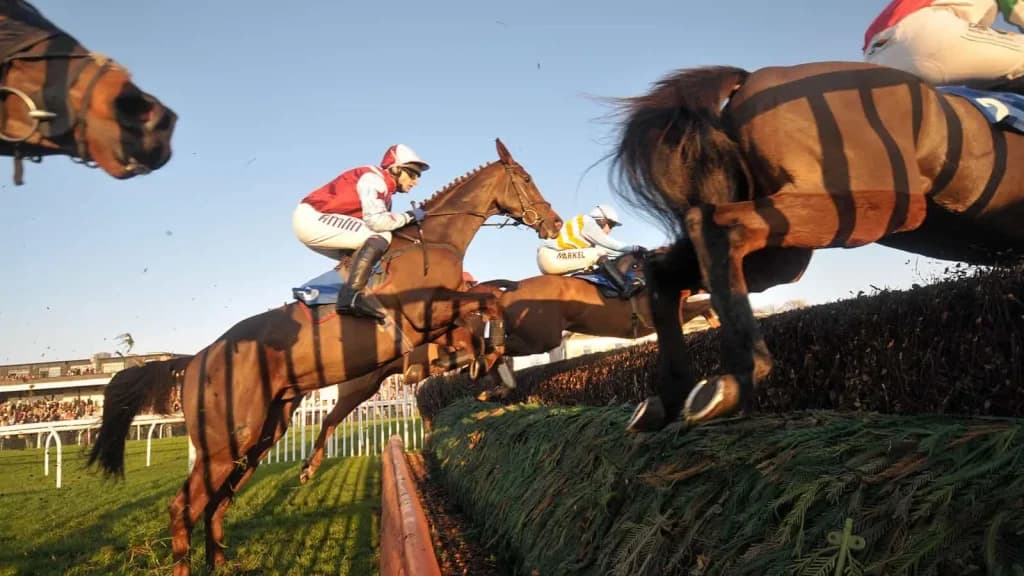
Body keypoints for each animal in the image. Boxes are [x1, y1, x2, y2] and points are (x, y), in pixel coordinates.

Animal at [87, 138, 563, 576]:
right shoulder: (423, 311)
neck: (433, 242)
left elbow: (478, 316)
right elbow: (486, 301)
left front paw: (481, 364)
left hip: (262, 435)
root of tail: (195, 359)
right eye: (525, 178)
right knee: (182, 507)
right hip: (226, 441)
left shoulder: (439, 319)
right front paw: (475, 363)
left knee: (216, 502)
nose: (555, 222)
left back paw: (223, 559)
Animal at [608, 62, 1024, 432]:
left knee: (666, 268)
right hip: (876, 206)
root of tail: (749, 79)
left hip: (783, 252)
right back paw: (741, 375)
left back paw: (671, 397)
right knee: (713, 226)